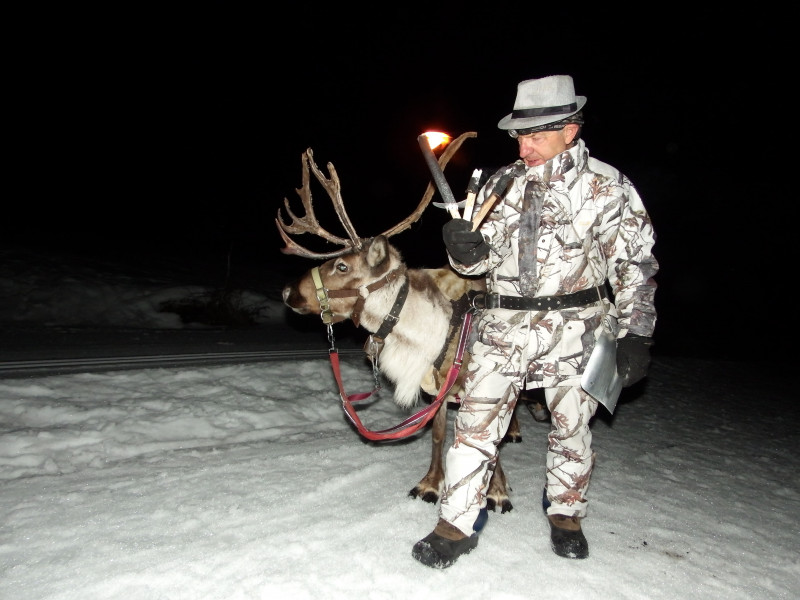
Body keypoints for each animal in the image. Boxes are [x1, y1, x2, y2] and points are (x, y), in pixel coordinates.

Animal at [278, 132, 541, 512]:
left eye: (341, 266)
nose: (287, 292)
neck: (425, 333)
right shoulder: (437, 387)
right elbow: (439, 434)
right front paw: (430, 484)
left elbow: (491, 438)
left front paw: (497, 491)